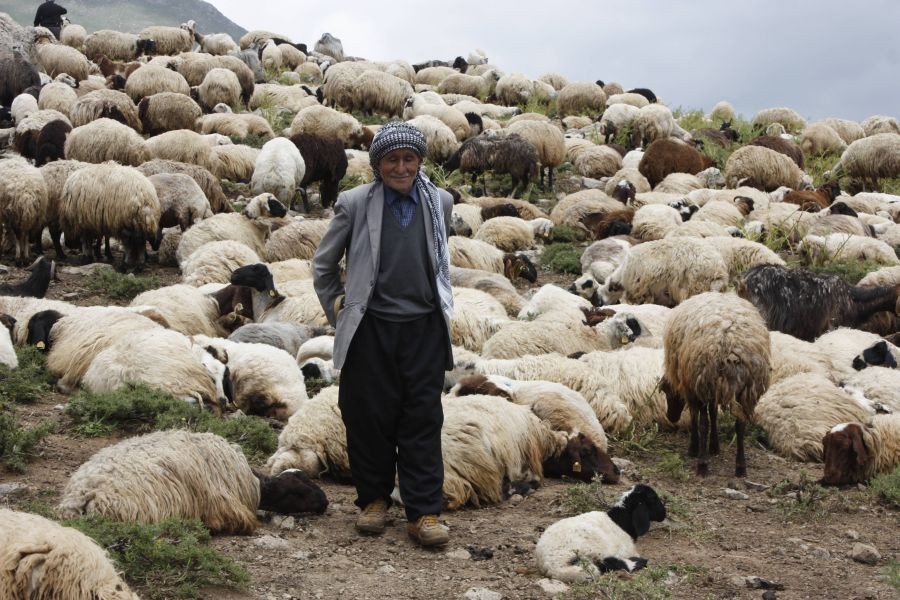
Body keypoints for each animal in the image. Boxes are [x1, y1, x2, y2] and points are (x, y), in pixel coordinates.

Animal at [536, 486, 668, 584]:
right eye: (653, 499)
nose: (664, 514)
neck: (620, 522)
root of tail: (553, 567)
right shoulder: (624, 550)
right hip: (587, 549)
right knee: (603, 564)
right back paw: (638, 562)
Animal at [656, 292, 768, 476]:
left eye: (667, 391)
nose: (671, 417)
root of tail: (730, 345)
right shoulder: (710, 390)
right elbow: (714, 413)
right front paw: (714, 446)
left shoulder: (692, 388)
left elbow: (697, 418)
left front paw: (695, 448)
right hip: (746, 390)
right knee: (740, 425)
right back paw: (740, 467)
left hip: (703, 381)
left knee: (704, 423)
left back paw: (702, 464)